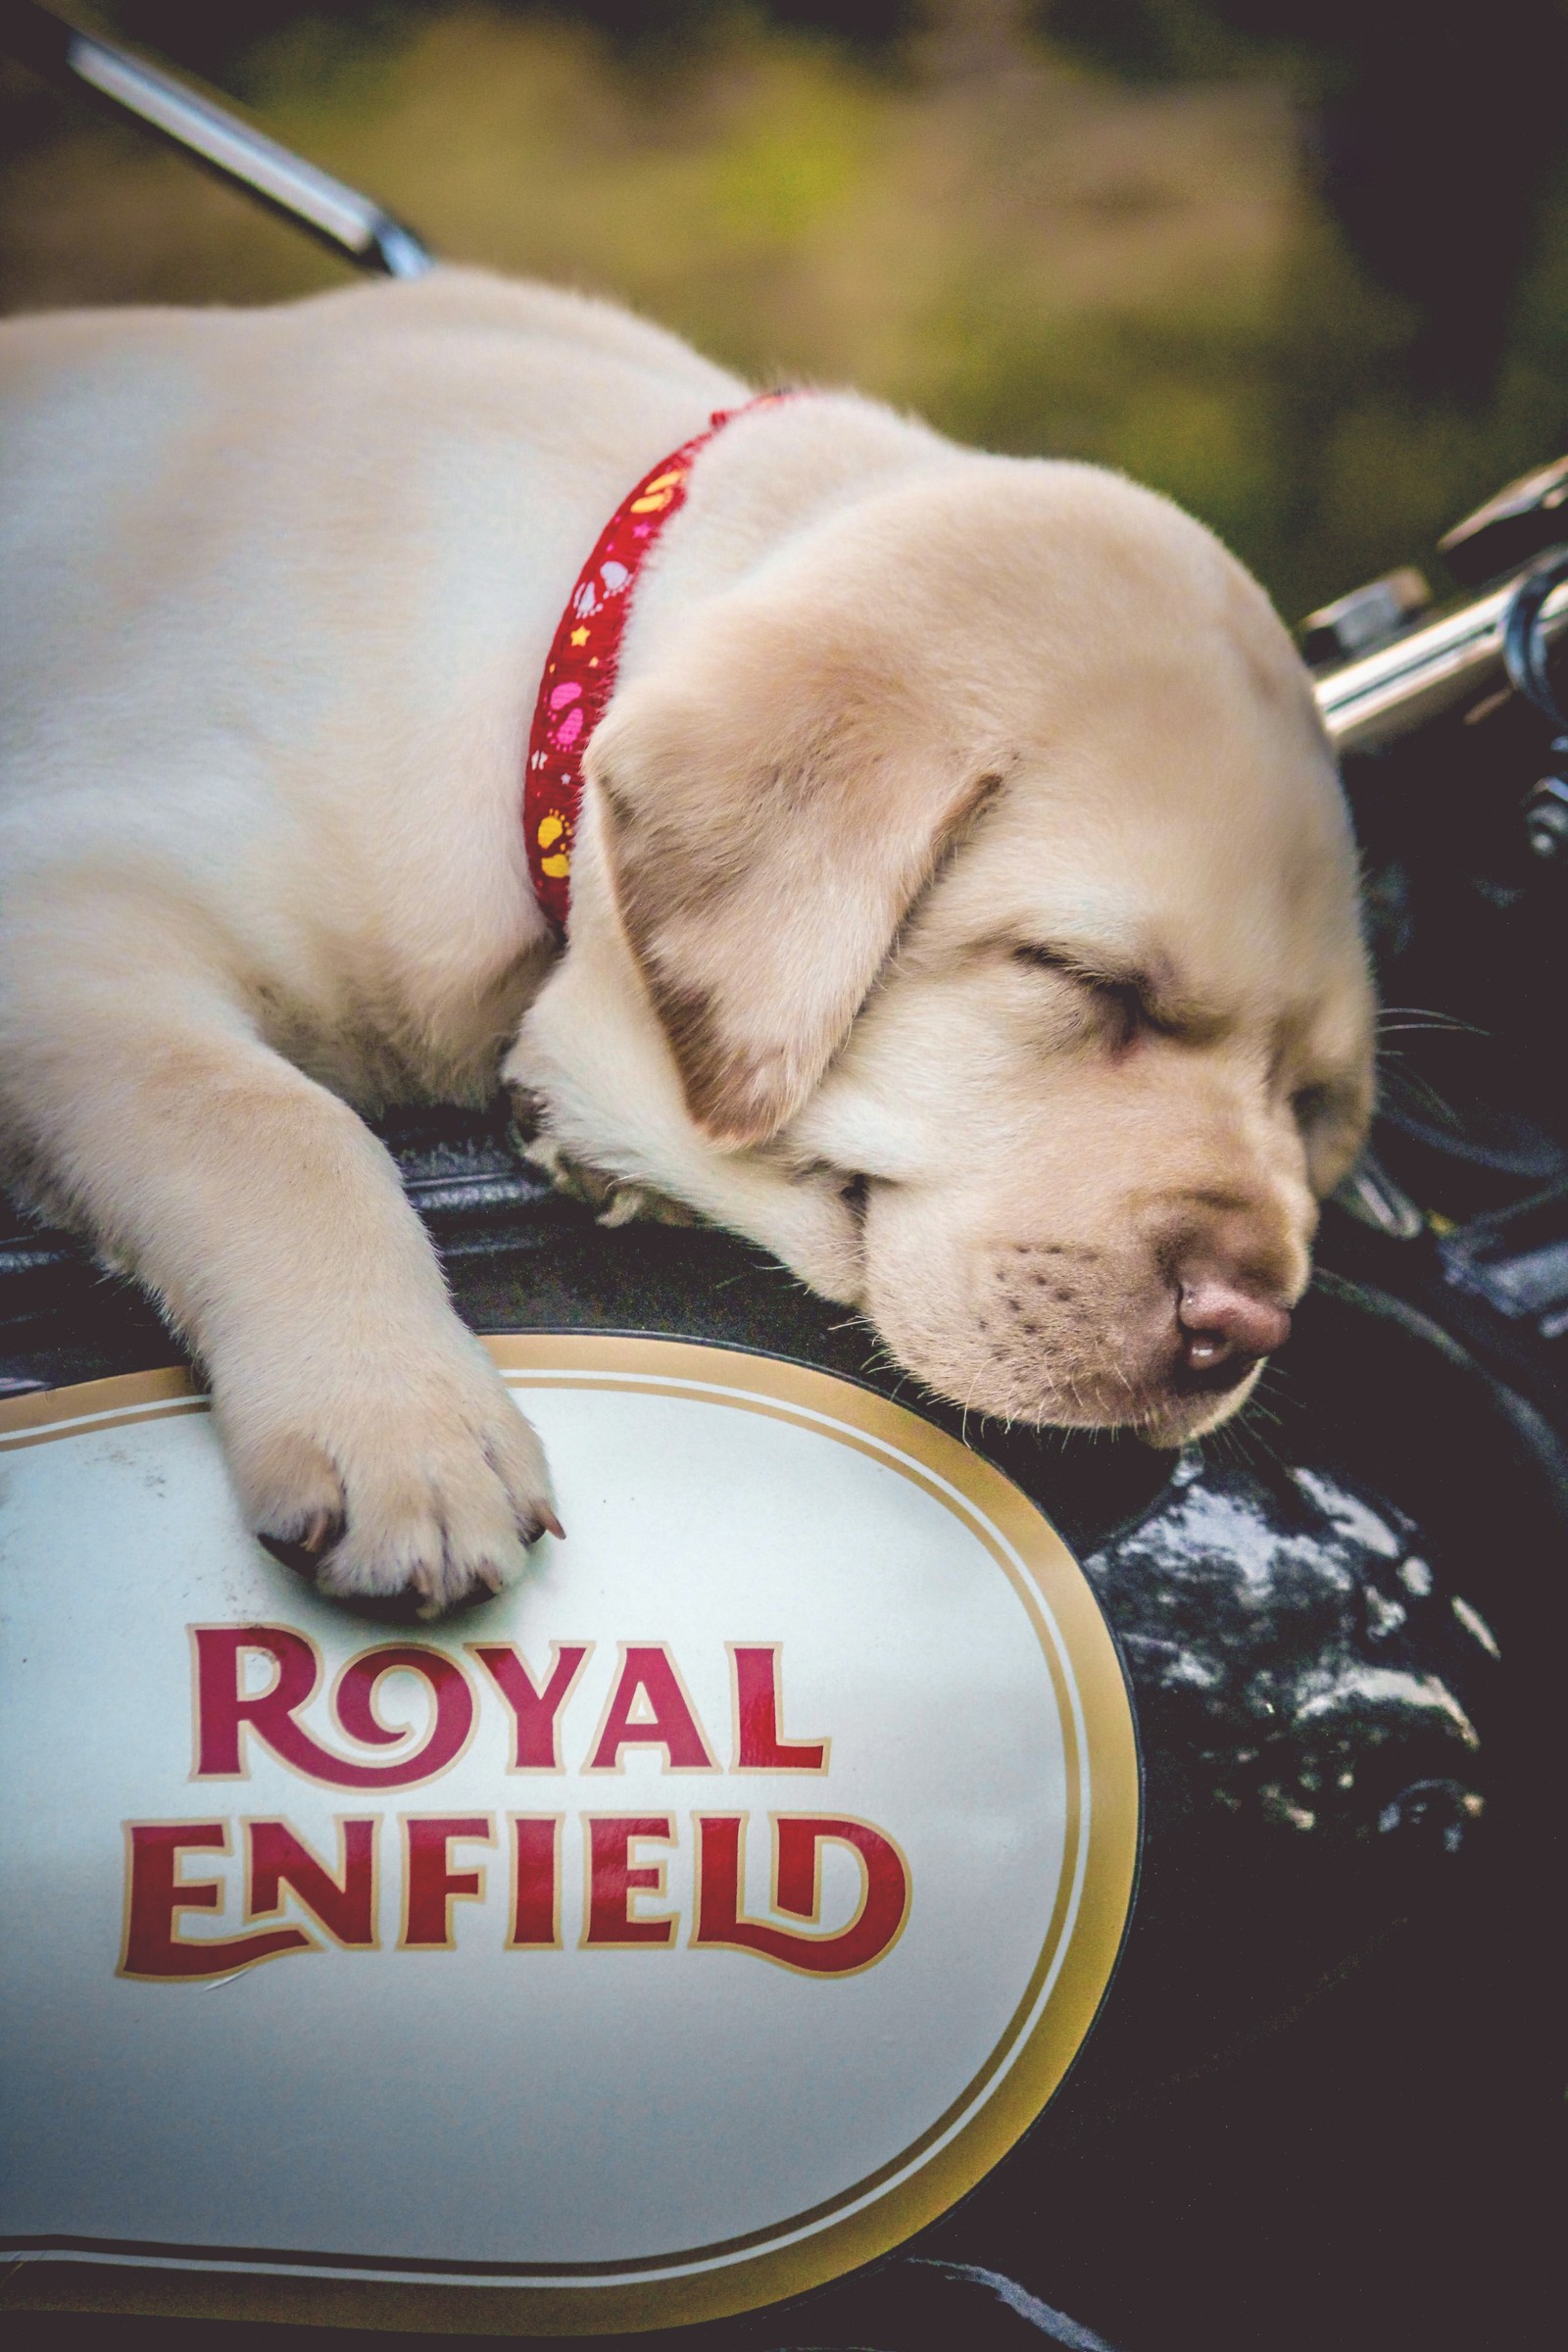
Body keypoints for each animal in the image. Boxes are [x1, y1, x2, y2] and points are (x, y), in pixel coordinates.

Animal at [0, 267, 1372, 1608]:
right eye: (1085, 979)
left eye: (1310, 1103)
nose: (1248, 1327)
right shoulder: (69, 904)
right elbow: (261, 1119)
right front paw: (403, 1428)